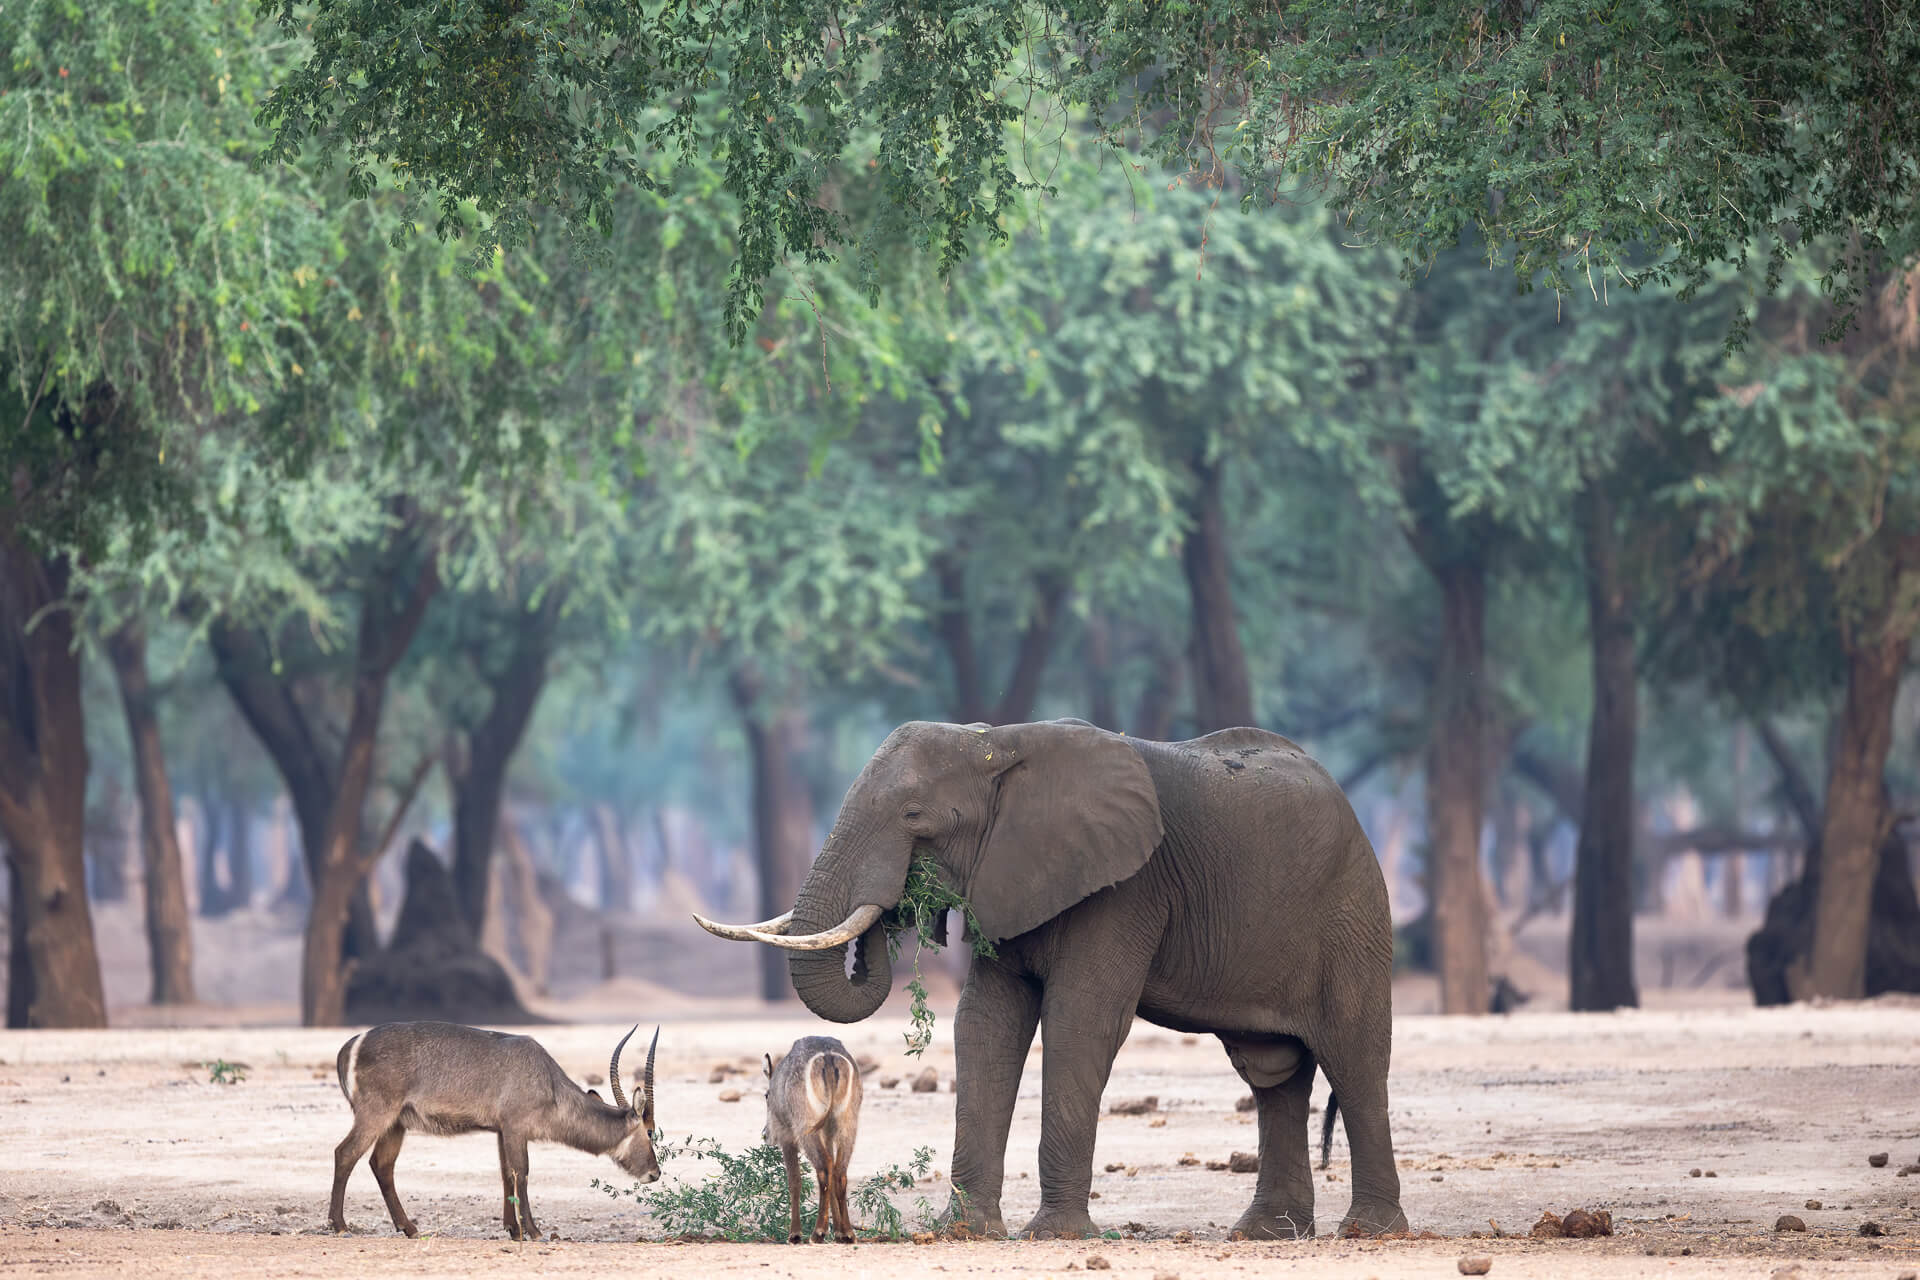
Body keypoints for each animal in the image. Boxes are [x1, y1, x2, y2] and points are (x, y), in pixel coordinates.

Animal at [330, 1020, 660, 1243]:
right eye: (650, 1132)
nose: (655, 1173)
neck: (549, 1083)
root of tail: (350, 1045)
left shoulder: (501, 1130)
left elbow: (505, 1174)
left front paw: (513, 1230)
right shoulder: (515, 1126)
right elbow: (522, 1172)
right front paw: (533, 1231)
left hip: (396, 1123)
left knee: (381, 1165)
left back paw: (409, 1228)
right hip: (377, 1114)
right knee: (345, 1153)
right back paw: (340, 1225)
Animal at [760, 1036, 867, 1243]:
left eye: (766, 1095)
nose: (765, 1135)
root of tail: (827, 1056)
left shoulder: (787, 1136)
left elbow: (794, 1180)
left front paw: (794, 1234)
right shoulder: (828, 1135)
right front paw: (839, 1232)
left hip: (806, 1128)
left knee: (824, 1169)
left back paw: (818, 1232)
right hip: (846, 1125)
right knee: (838, 1172)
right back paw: (848, 1233)